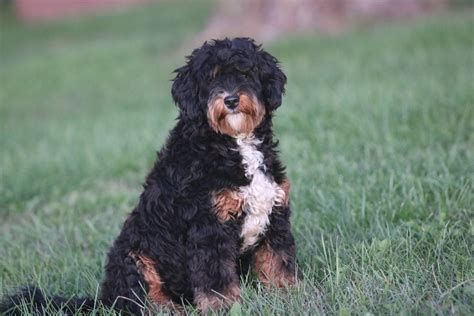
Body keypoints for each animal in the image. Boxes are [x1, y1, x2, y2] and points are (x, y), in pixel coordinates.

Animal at [1, 37, 300, 316]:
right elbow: (216, 279)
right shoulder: (208, 227)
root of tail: (105, 299)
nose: (230, 100)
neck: (233, 143)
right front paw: (225, 307)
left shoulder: (275, 215)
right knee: (144, 301)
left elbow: (278, 262)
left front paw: (288, 295)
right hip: (135, 257)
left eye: (246, 74)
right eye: (210, 79)